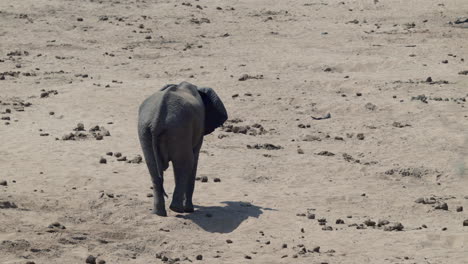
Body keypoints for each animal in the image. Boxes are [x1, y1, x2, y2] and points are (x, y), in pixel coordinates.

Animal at [138, 81, 228, 216]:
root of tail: (157, 119)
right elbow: (194, 159)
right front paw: (190, 209)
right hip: (179, 129)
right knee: (186, 162)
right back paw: (178, 209)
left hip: (146, 130)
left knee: (153, 166)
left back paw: (159, 213)